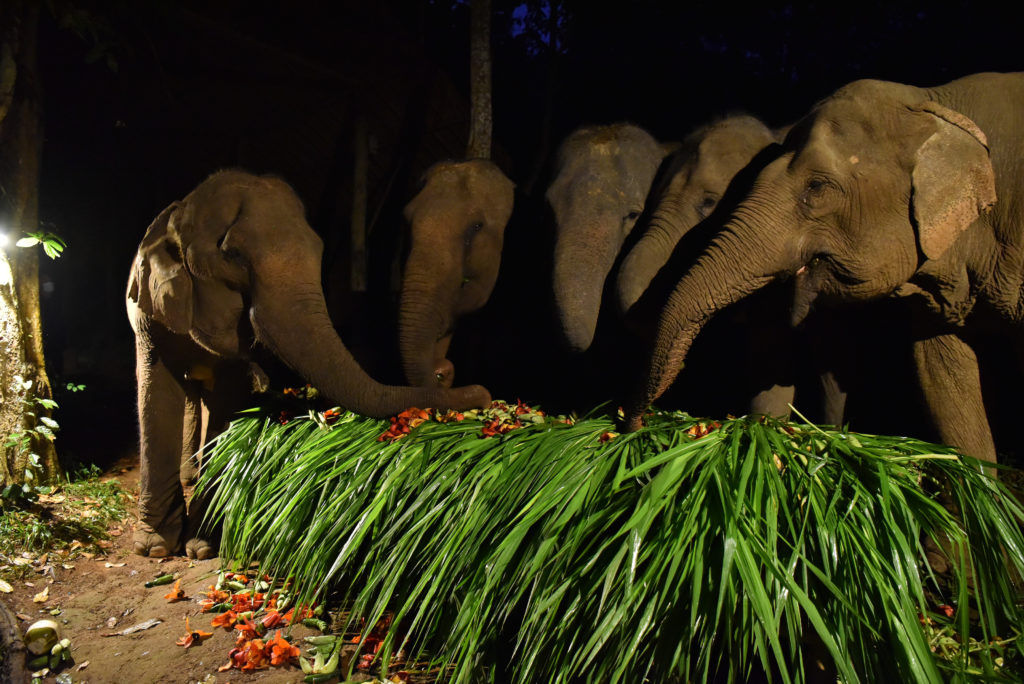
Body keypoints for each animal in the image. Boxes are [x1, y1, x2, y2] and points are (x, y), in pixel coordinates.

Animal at [127, 169, 491, 558]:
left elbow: (226, 402)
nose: (476, 391)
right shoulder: (149, 310)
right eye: (232, 255)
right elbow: (157, 395)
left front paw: (201, 545)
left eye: (318, 251)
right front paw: (154, 547)